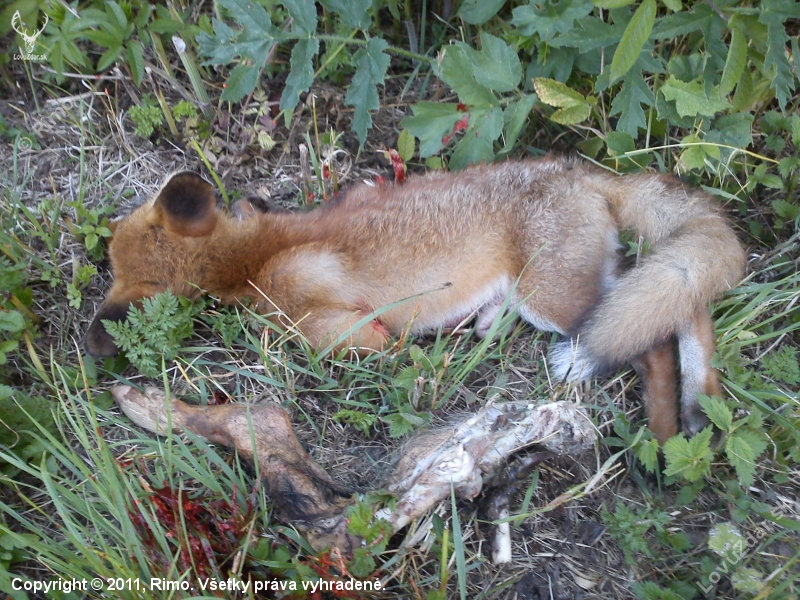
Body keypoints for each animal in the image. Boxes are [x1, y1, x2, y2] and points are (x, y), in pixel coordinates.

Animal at [85, 157, 745, 445]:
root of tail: (580, 169)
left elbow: (368, 348)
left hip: (557, 300)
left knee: (656, 332)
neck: (248, 256)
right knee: (685, 304)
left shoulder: (346, 331)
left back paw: (664, 435)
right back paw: (699, 408)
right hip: (567, 290)